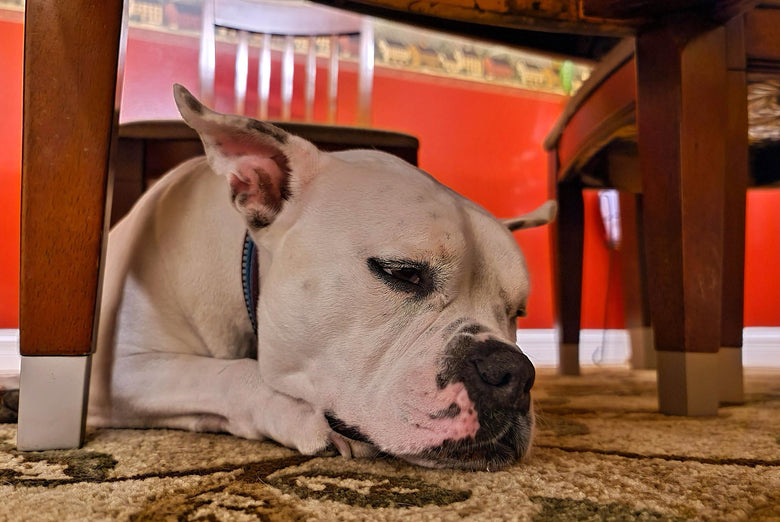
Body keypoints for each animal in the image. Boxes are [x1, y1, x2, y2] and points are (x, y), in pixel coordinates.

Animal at [87, 84, 556, 468]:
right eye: (402, 274)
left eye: (517, 312)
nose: (514, 374)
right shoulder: (115, 371)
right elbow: (229, 373)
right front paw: (301, 415)